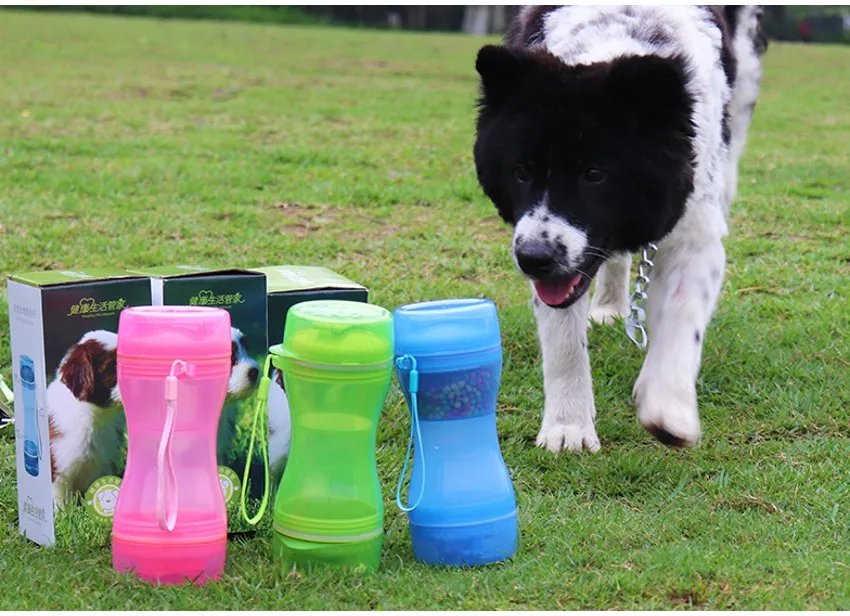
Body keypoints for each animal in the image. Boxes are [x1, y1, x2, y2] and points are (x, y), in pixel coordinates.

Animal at [473, 6, 767, 452]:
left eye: (595, 174)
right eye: (521, 172)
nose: (533, 259)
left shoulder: (695, 229)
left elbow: (682, 314)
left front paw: (667, 408)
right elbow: (564, 341)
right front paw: (568, 426)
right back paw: (610, 306)